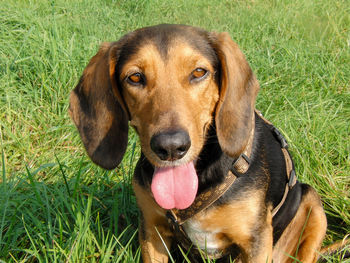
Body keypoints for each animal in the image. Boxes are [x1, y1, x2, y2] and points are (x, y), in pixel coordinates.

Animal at [69, 23, 328, 262]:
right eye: (134, 77)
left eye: (199, 72)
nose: (171, 147)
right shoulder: (152, 231)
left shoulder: (256, 241)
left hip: (313, 203)